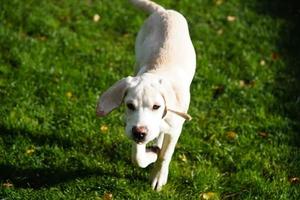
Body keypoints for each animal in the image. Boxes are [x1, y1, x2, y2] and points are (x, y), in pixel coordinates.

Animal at [95, 0, 196, 191]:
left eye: (157, 106)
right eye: (129, 105)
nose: (139, 133)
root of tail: (163, 11)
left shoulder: (175, 130)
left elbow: (166, 155)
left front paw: (158, 176)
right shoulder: (132, 126)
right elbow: (137, 157)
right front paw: (151, 154)